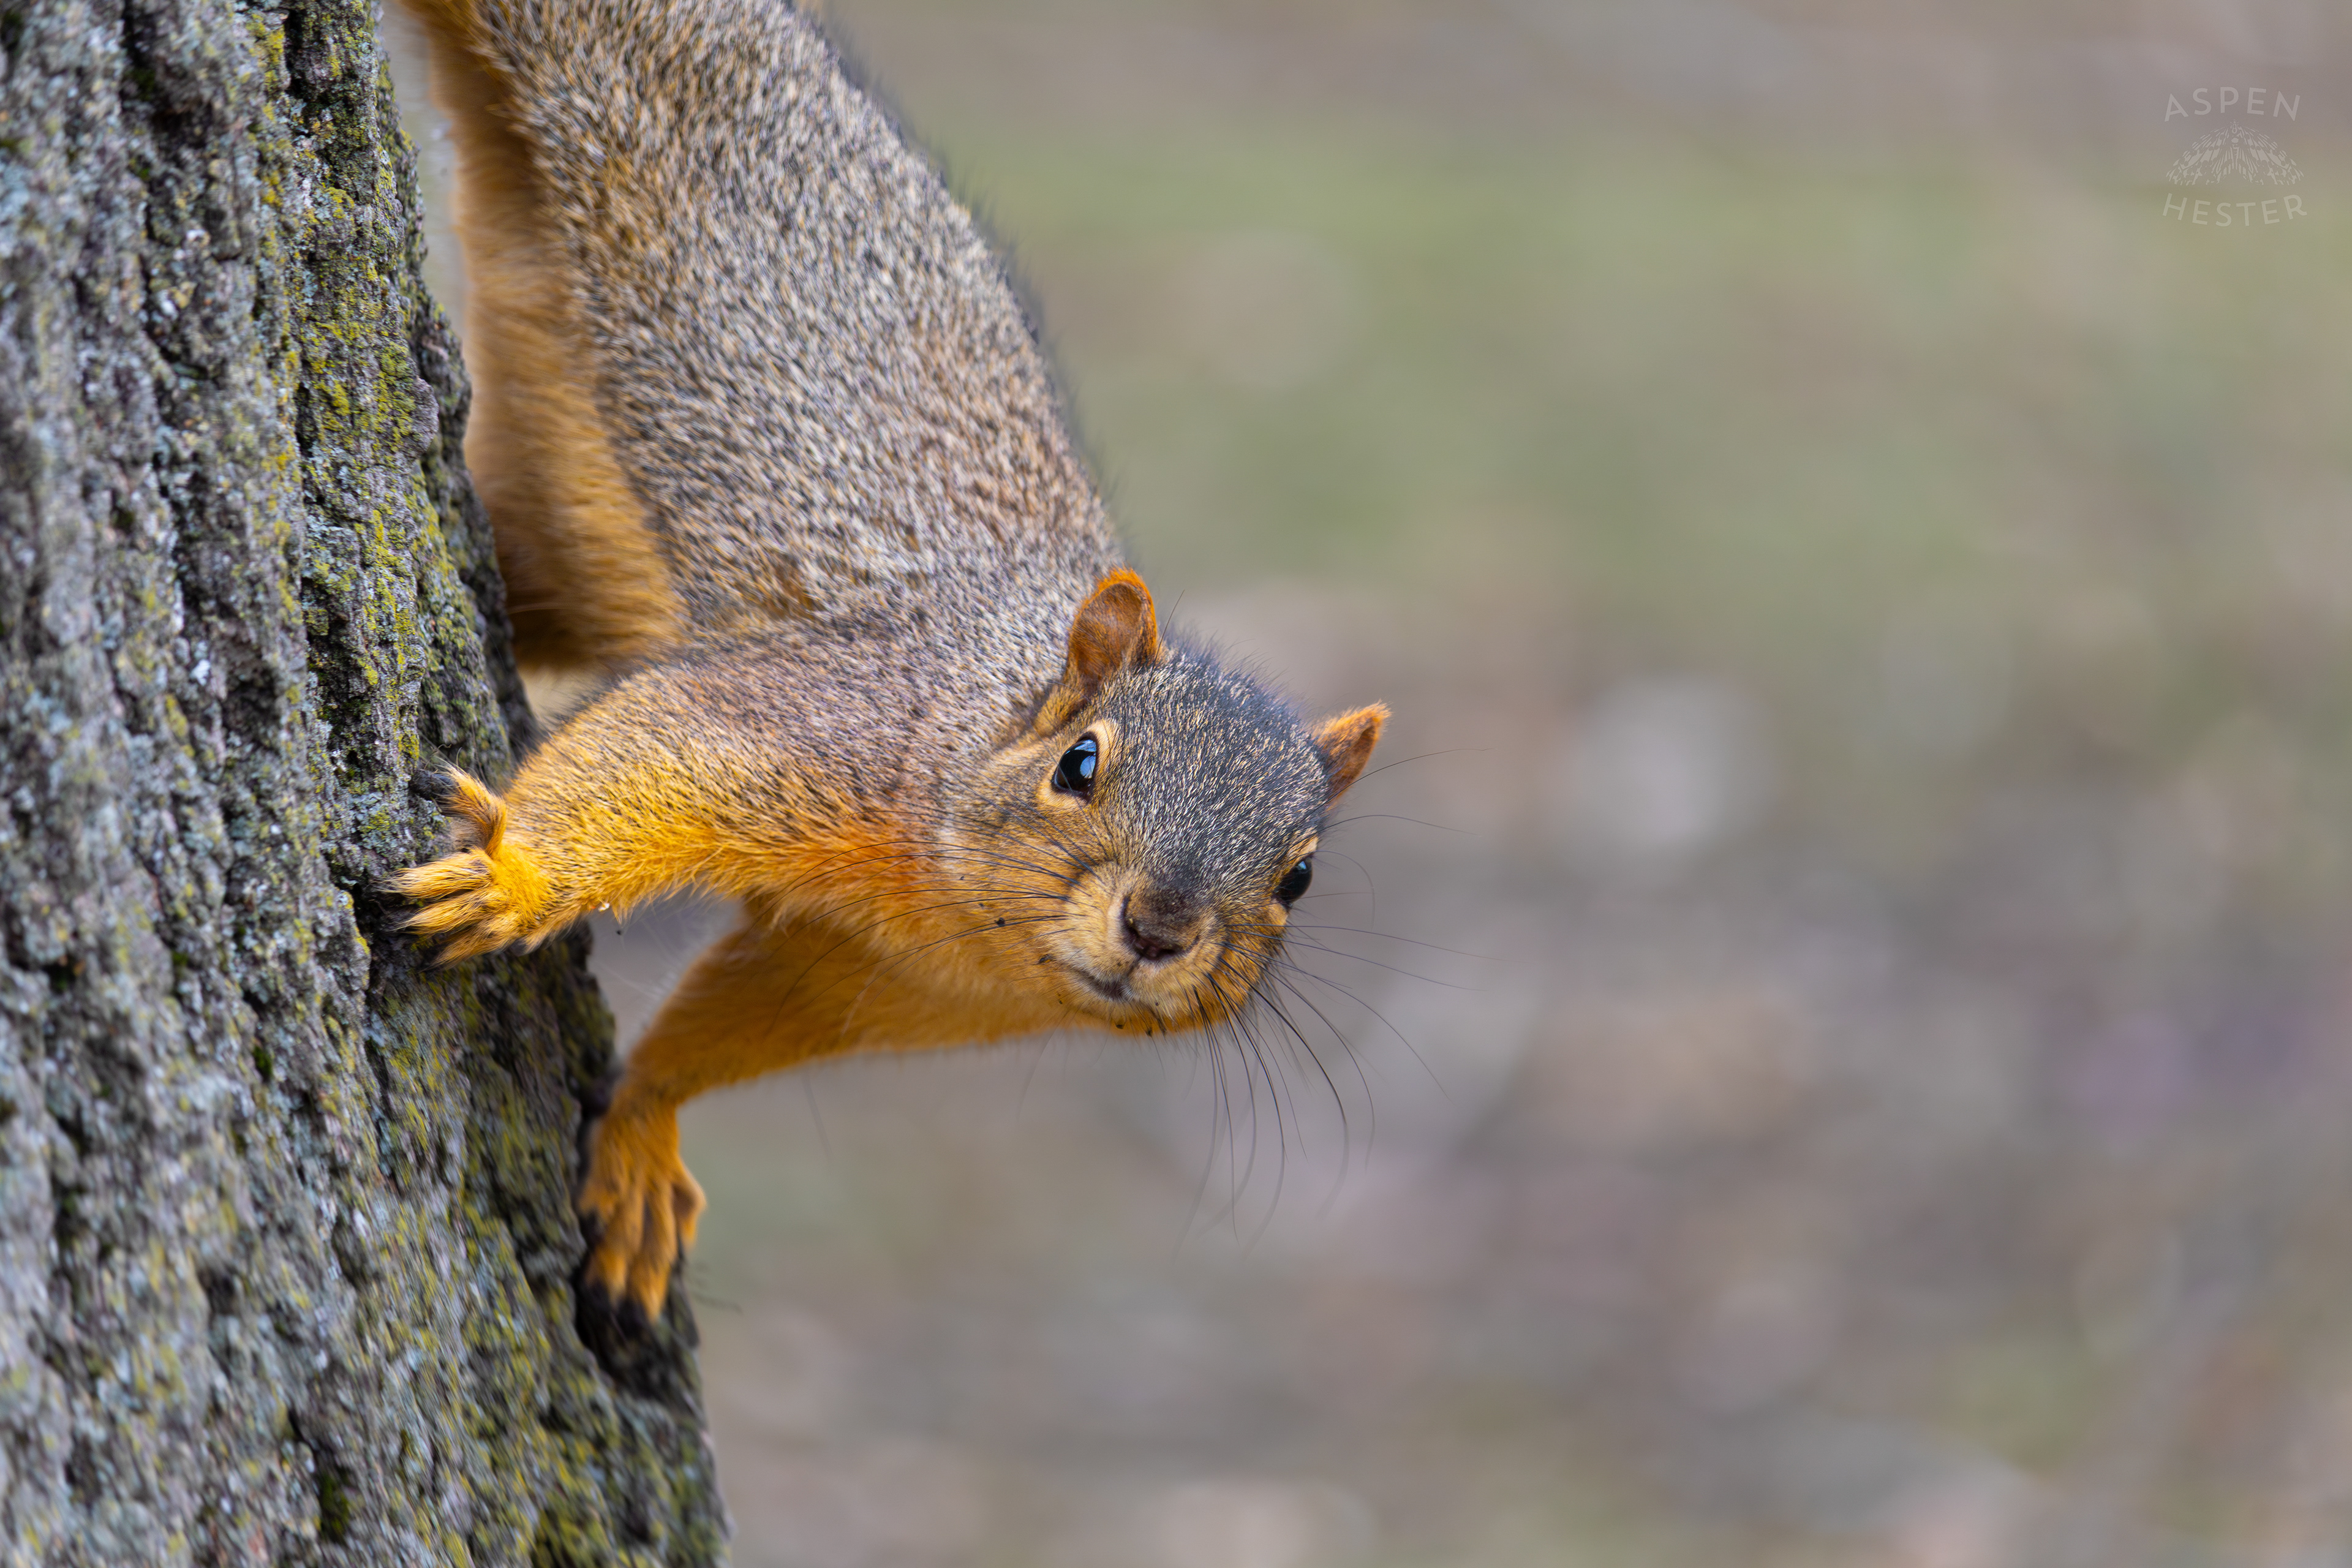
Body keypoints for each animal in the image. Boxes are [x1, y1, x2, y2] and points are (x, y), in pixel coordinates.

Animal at [391, 0, 1387, 1328]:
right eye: (1080, 764)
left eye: (1302, 877)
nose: (1161, 927)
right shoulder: (820, 721)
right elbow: (666, 736)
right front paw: (516, 874)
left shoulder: (859, 974)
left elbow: (734, 1015)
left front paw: (646, 1132)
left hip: (555, 538)